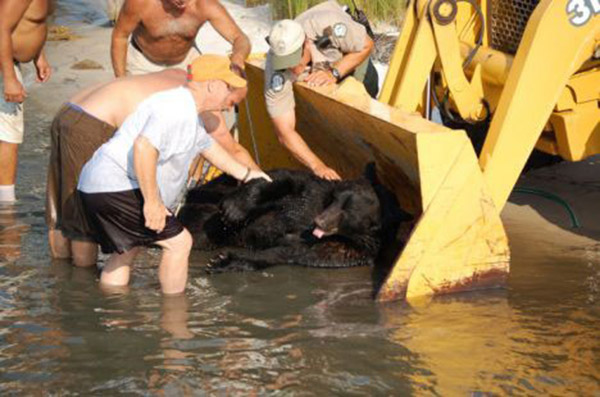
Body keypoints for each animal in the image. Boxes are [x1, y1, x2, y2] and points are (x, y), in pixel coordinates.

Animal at [178, 167, 410, 272]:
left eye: (349, 211)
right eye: (336, 199)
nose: (319, 221)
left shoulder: (343, 249)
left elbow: (286, 253)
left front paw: (223, 260)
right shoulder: (314, 192)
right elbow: (283, 180)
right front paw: (235, 208)